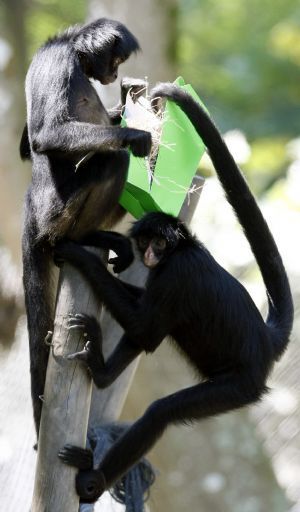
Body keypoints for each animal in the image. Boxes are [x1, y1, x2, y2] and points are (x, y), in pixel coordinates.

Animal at [20, 18, 151, 438]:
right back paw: (79, 239)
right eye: (116, 59)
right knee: (114, 159)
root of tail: (33, 205)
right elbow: (43, 137)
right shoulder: (58, 62)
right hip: (59, 211)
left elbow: (27, 146)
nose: (112, 75)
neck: (70, 48)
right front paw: (136, 133)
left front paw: (125, 104)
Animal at [54, 82, 292, 502]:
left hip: (239, 386)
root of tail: (265, 340)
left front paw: (78, 254)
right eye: (146, 241)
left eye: (160, 244)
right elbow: (145, 322)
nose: (150, 253)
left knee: (159, 411)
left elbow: (147, 329)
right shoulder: (162, 275)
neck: (181, 250)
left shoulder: (177, 273)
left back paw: (94, 478)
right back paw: (102, 376)